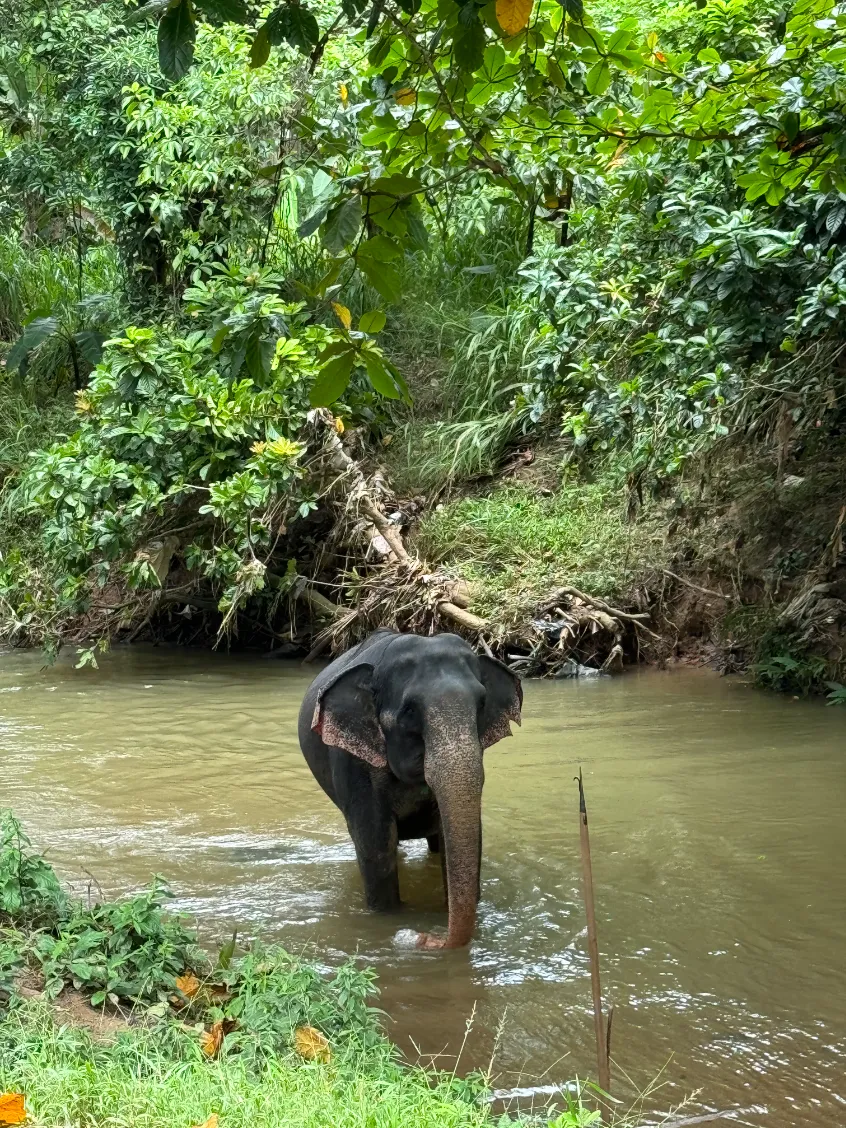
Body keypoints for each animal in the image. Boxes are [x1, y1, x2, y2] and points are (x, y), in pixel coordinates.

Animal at [297, 629, 522, 949]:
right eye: (409, 710)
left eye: (481, 704)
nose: (424, 938)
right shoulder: (353, 761)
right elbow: (375, 841)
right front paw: (388, 918)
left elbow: (461, 835)